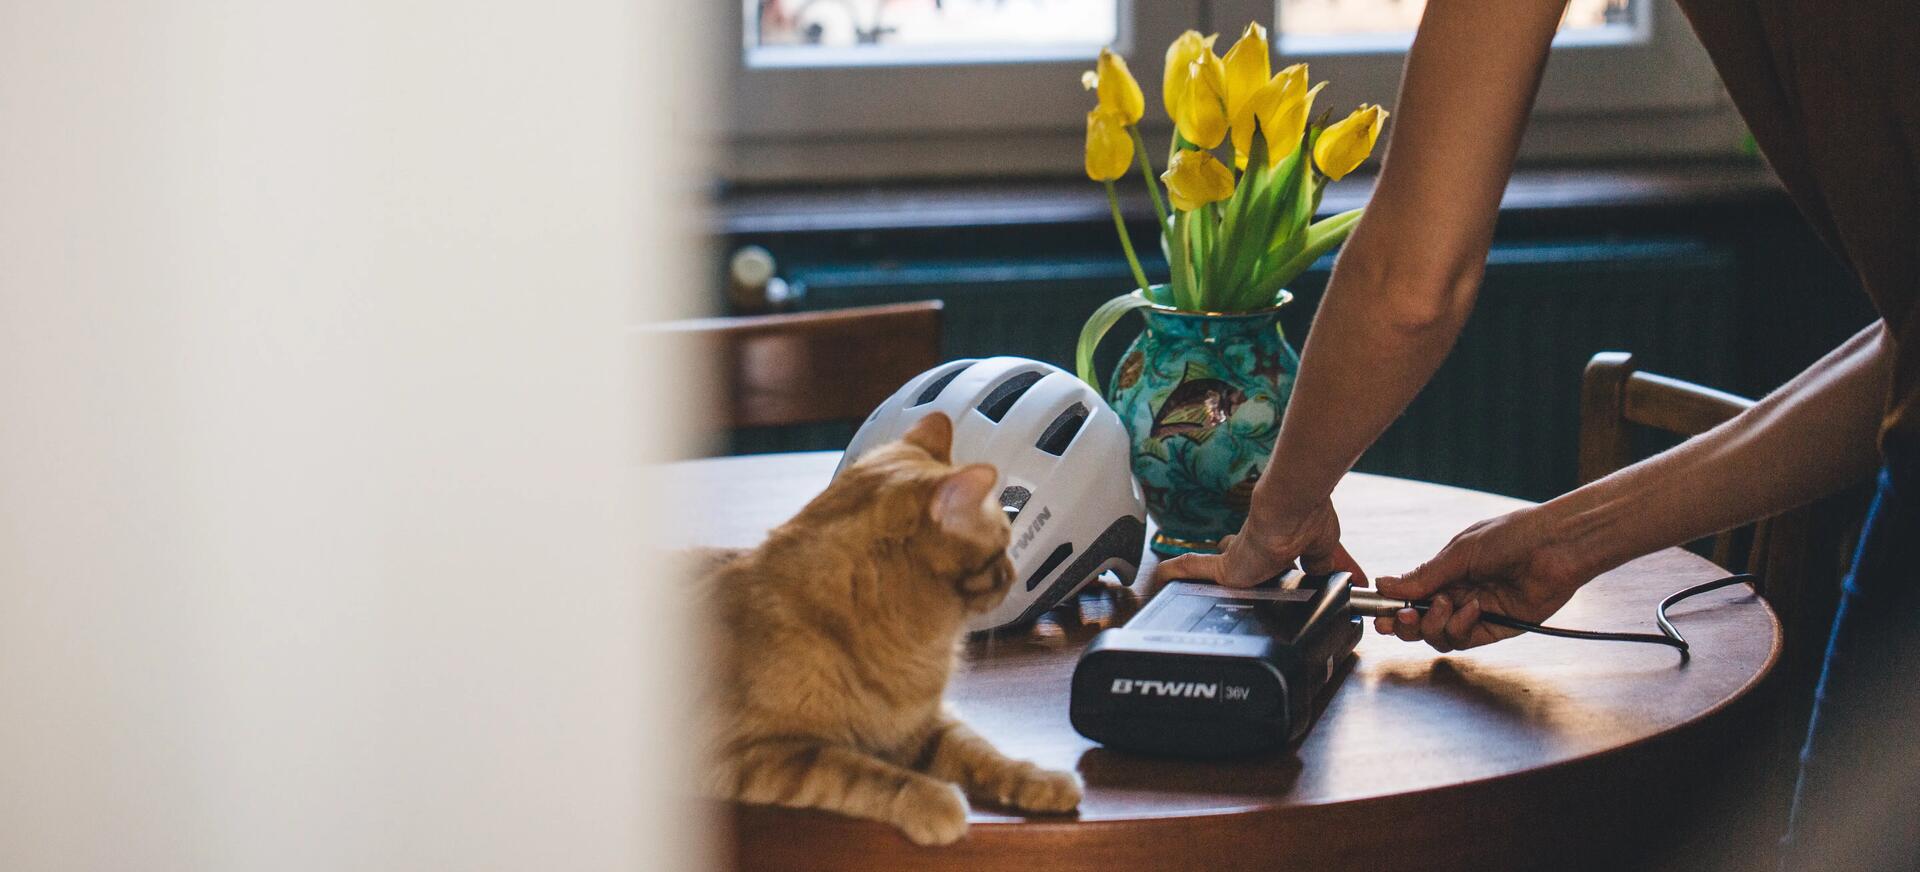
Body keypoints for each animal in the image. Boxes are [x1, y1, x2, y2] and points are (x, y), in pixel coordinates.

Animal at [706, 412, 1090, 845]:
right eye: (1002, 547)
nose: (1014, 573)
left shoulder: (921, 726)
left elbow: (984, 754)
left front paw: (1041, 779)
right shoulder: (755, 751)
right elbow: (859, 772)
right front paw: (934, 801)